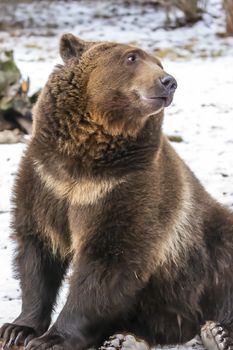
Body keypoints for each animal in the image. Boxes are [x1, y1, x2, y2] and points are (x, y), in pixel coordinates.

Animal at [0, 34, 233, 350]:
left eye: (159, 63)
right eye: (131, 57)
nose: (169, 81)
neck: (84, 162)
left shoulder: (126, 188)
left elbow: (108, 261)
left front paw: (52, 338)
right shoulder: (46, 180)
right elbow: (37, 251)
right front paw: (18, 329)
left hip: (208, 250)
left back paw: (218, 333)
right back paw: (125, 338)